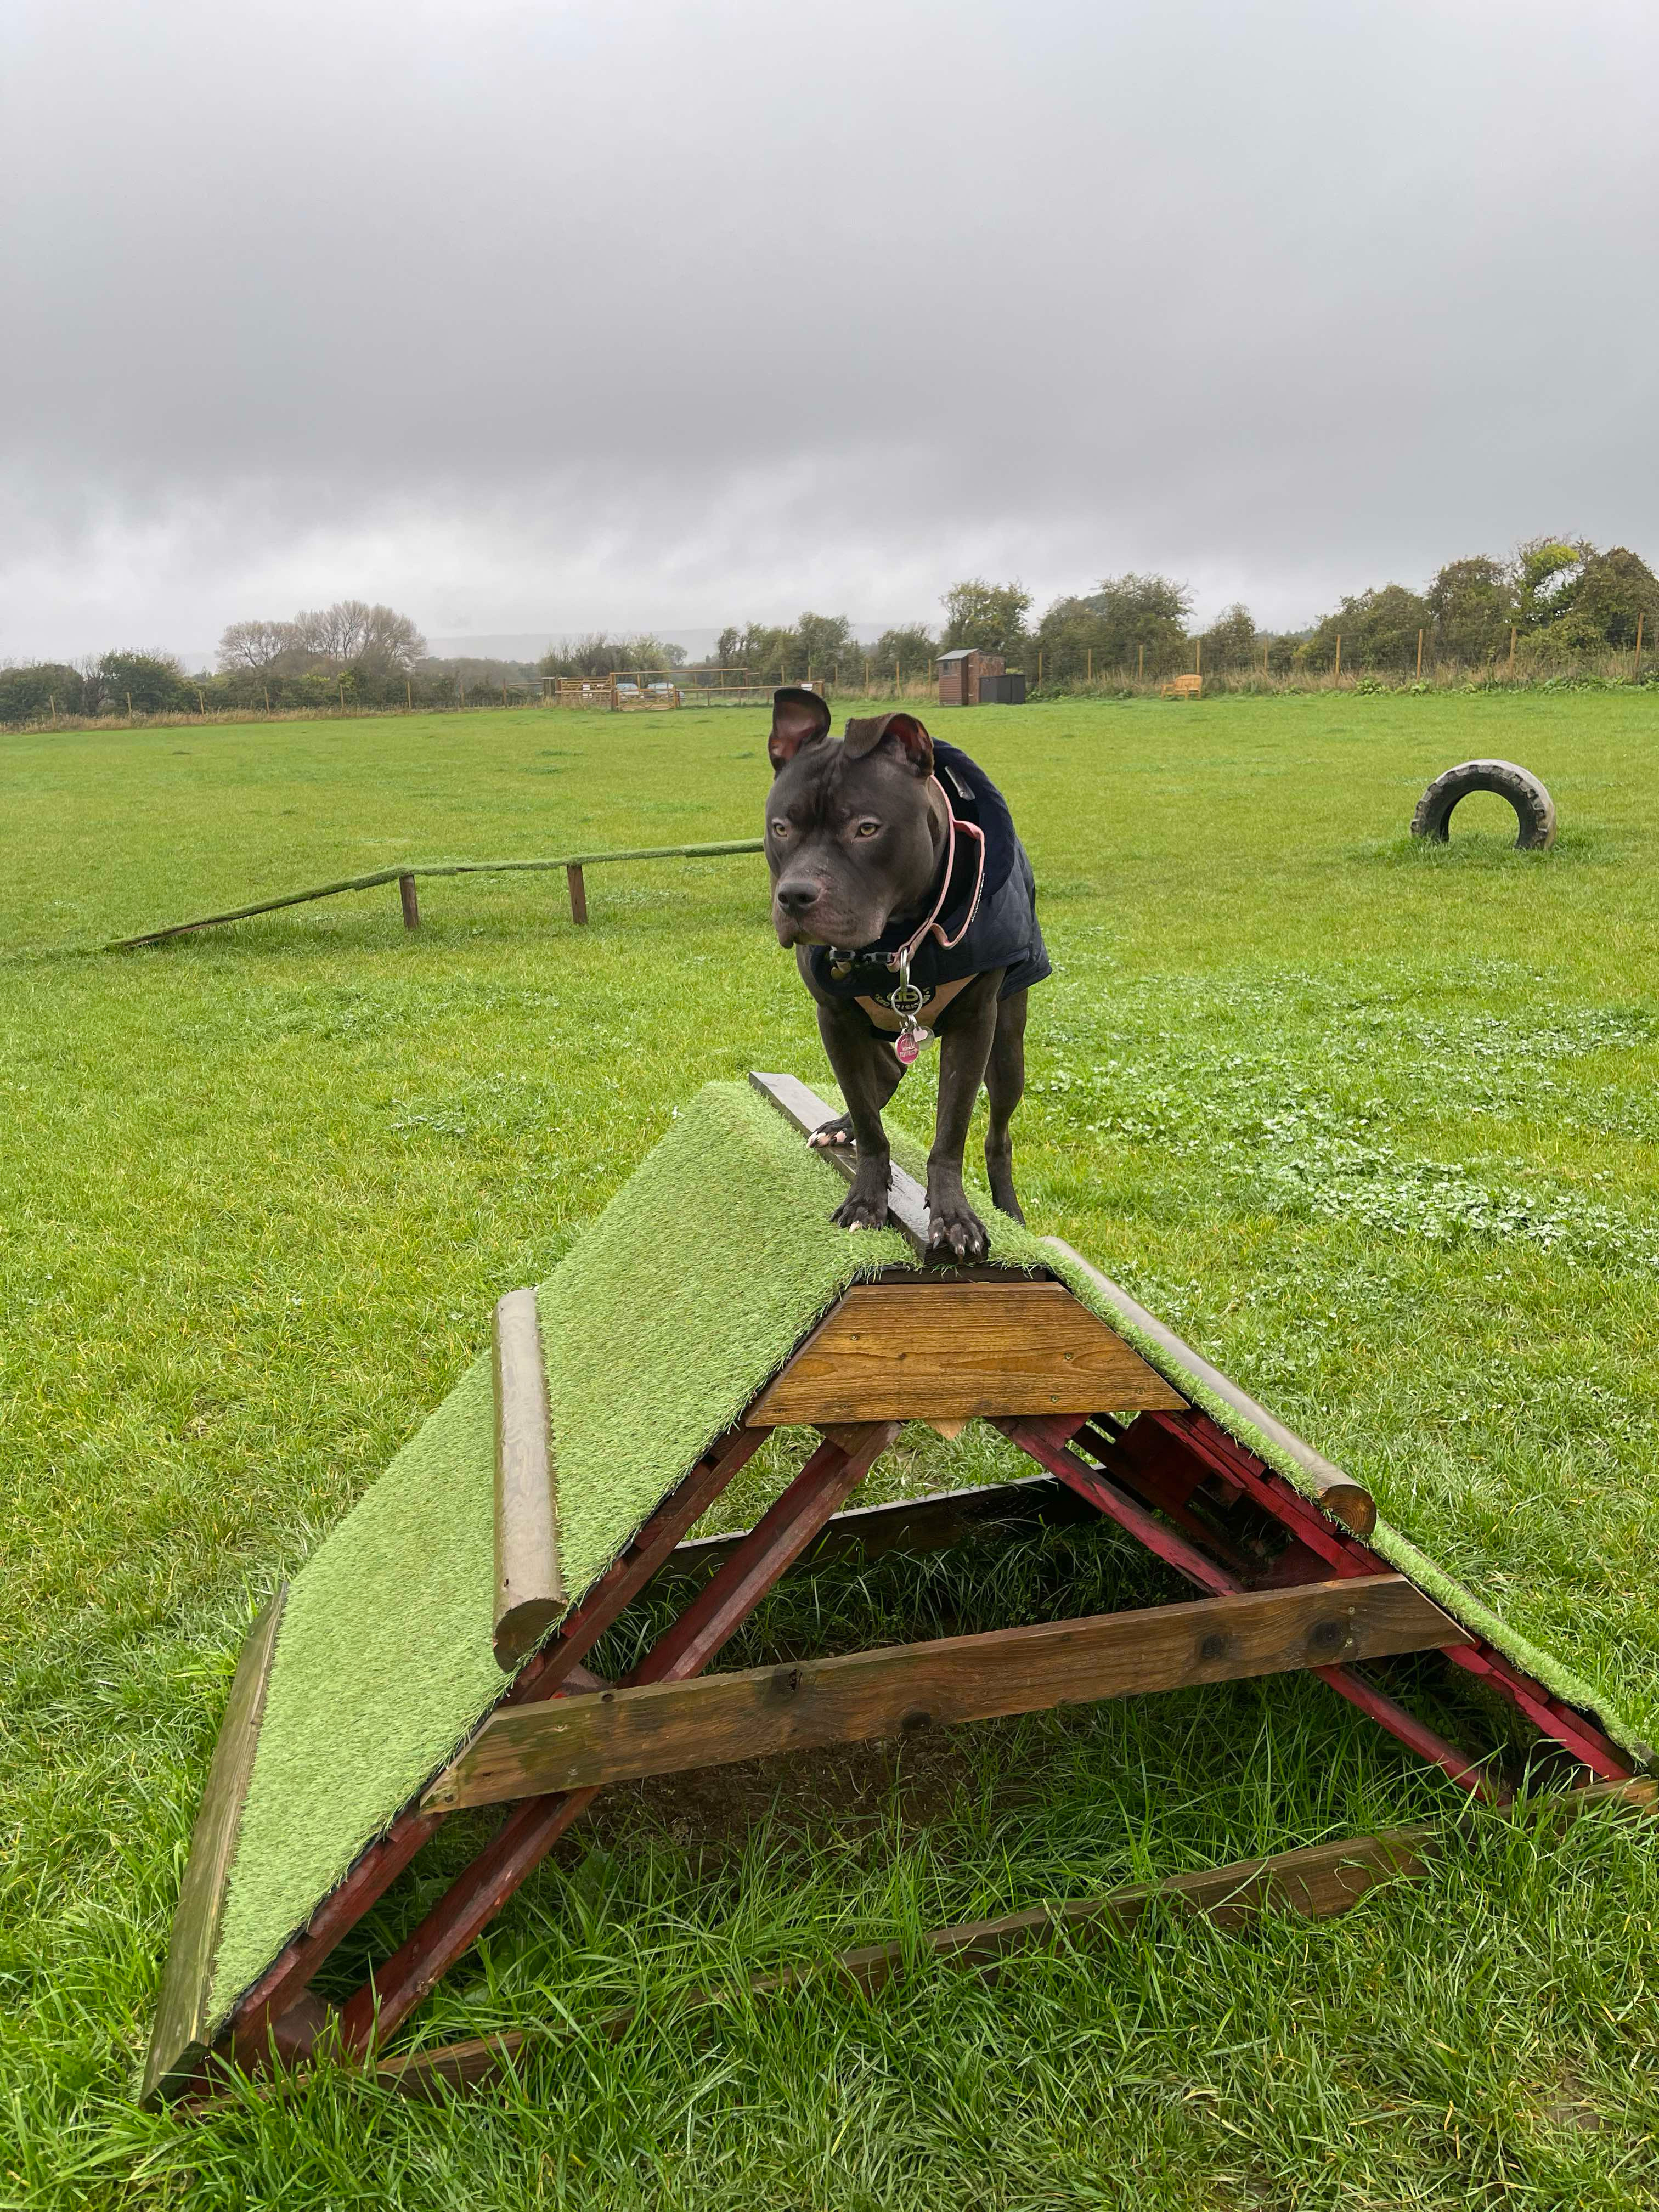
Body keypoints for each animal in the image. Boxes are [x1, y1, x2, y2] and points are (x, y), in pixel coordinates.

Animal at [764, 686, 1049, 1263]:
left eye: (867, 828)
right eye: (781, 828)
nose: (795, 897)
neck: (896, 941)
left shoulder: (975, 1025)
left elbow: (952, 1132)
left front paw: (955, 1218)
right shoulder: (835, 1020)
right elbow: (871, 1122)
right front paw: (865, 1200)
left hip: (1008, 1047)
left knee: (999, 1135)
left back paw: (1009, 1209)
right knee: (881, 1082)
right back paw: (841, 1126)